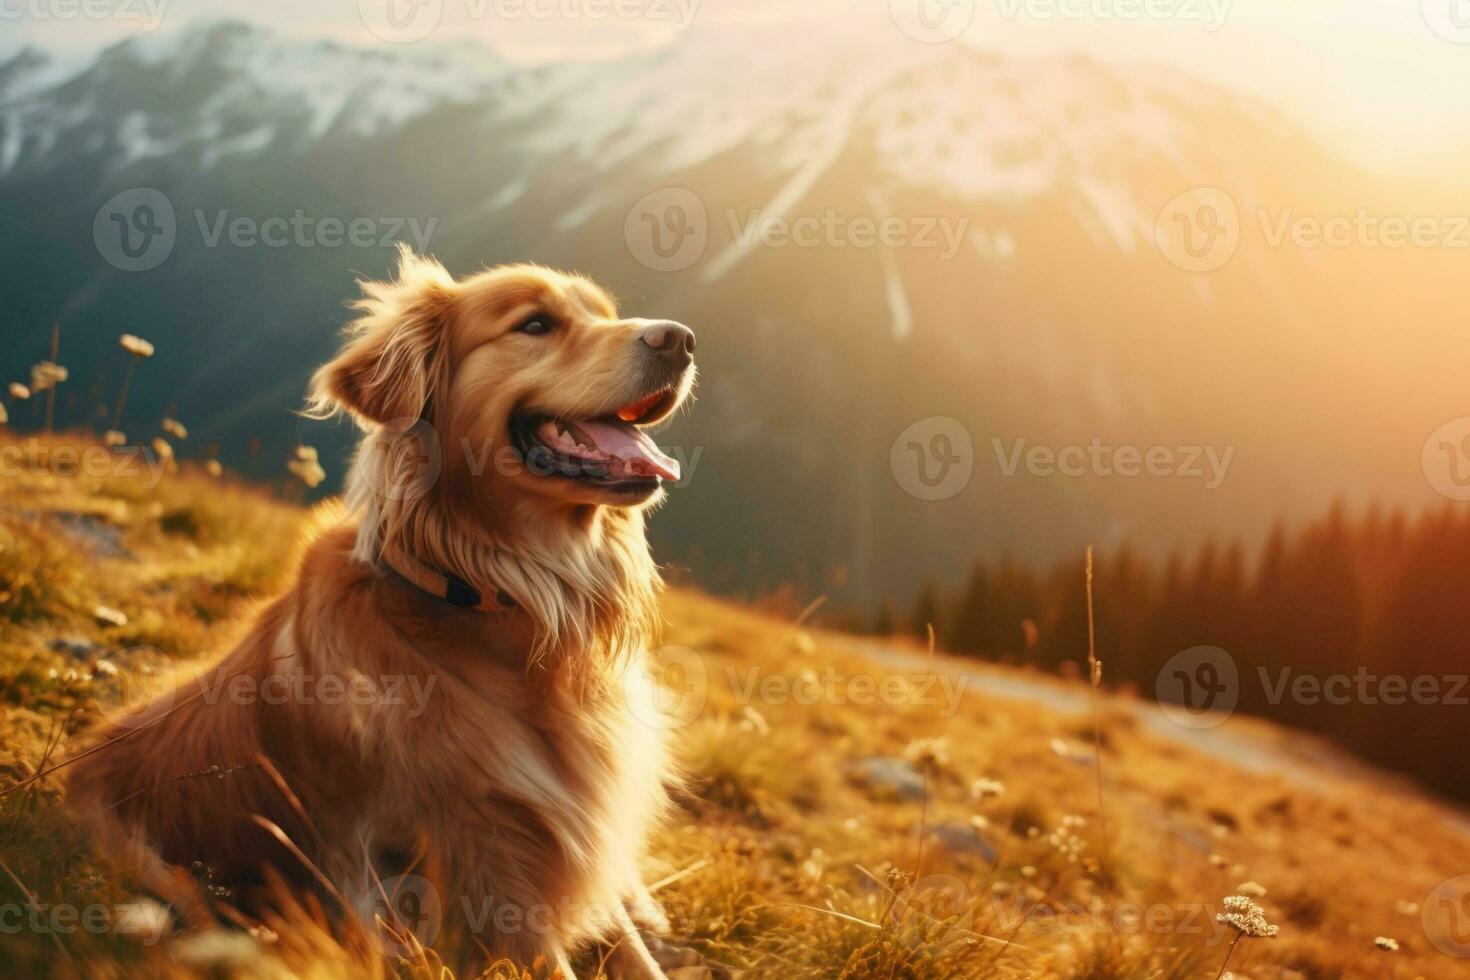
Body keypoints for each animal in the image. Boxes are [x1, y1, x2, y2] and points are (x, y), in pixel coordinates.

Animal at [66, 246, 708, 980]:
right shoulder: (490, 875)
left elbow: (635, 952)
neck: (498, 606)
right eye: (535, 324)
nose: (681, 339)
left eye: (603, 313)